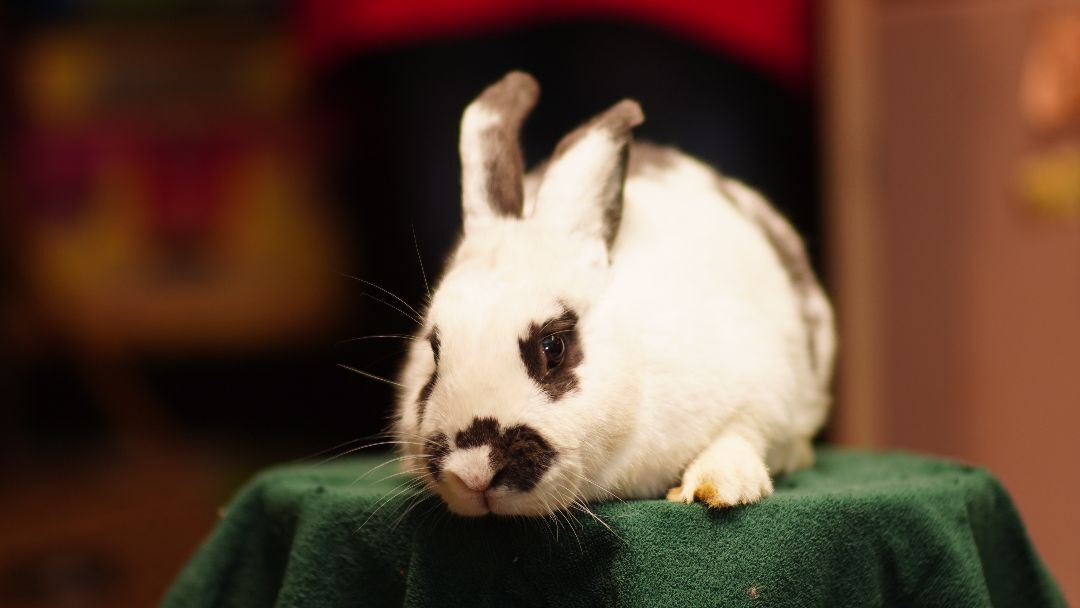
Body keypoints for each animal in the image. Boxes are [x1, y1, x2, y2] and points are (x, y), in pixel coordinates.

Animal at [392, 71, 835, 517]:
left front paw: (719, 487)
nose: (473, 472)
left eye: (553, 347)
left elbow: (740, 434)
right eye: (434, 353)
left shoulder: (761, 389)